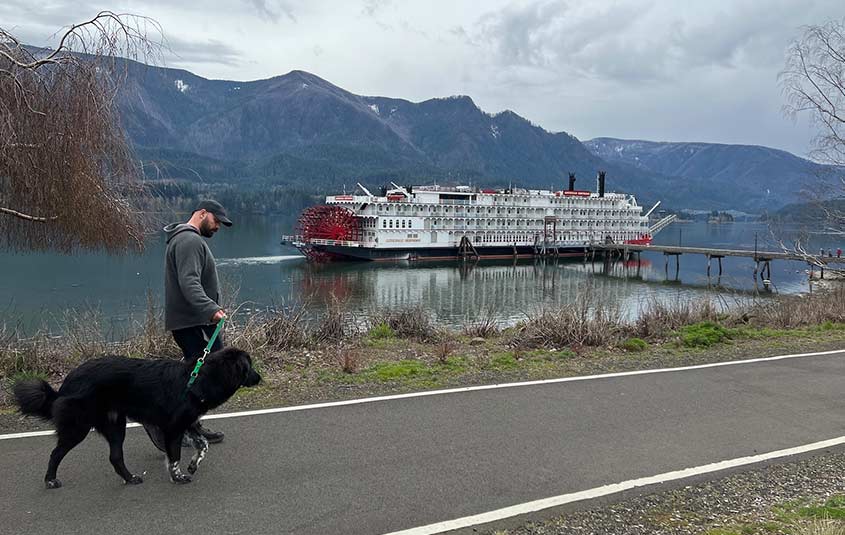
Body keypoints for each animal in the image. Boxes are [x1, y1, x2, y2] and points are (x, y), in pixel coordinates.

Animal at [11, 348, 258, 490]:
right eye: (250, 366)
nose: (260, 378)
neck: (200, 379)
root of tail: (64, 385)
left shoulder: (186, 423)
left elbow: (203, 444)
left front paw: (193, 464)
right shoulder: (174, 427)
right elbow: (175, 456)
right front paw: (177, 477)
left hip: (116, 426)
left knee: (115, 457)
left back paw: (130, 479)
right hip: (78, 427)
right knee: (56, 453)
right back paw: (50, 480)